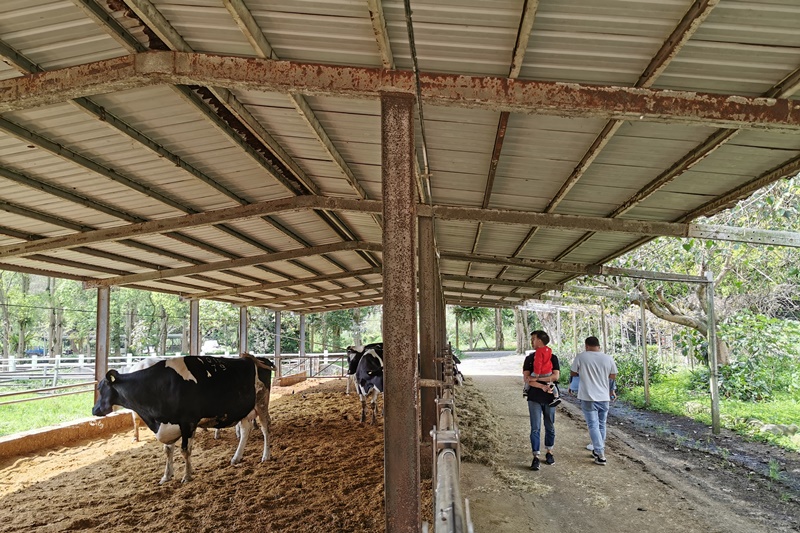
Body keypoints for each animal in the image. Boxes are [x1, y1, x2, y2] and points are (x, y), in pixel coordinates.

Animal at [92, 354, 274, 482]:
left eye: (101, 388)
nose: (94, 410)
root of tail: (256, 359)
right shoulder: (167, 423)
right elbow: (168, 451)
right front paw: (166, 476)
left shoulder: (188, 421)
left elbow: (185, 450)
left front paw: (187, 476)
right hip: (244, 409)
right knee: (245, 430)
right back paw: (236, 457)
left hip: (261, 402)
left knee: (265, 428)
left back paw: (266, 455)